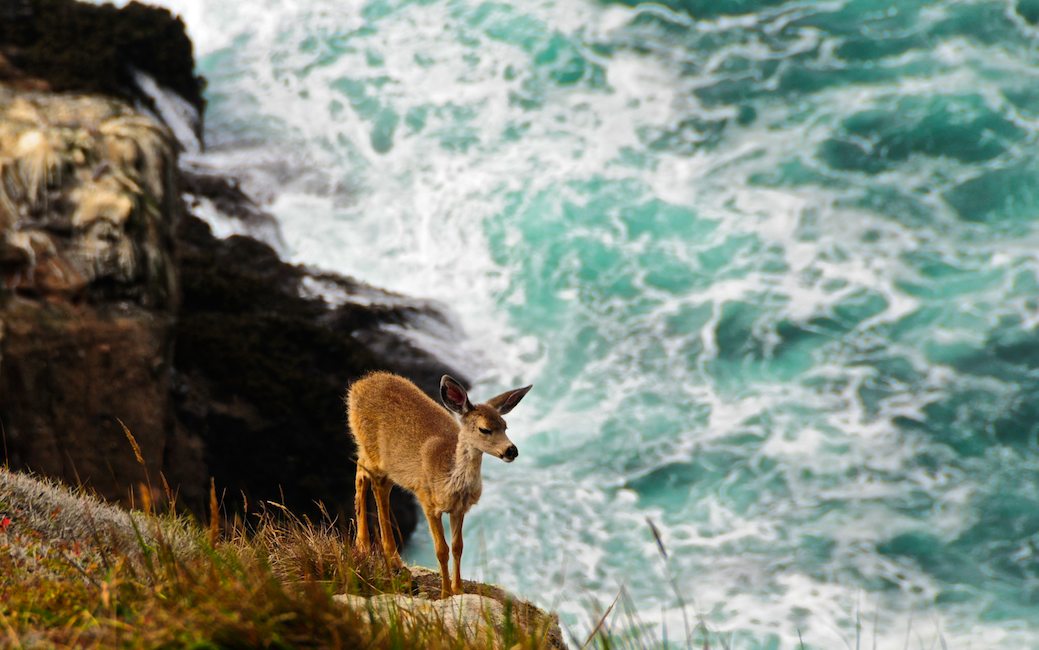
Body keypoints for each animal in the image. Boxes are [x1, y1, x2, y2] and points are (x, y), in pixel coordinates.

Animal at [347, 369, 531, 598]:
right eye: (485, 429)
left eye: (505, 426)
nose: (511, 450)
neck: (449, 480)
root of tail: (359, 385)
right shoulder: (427, 502)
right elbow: (441, 550)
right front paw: (445, 593)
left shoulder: (459, 508)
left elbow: (457, 546)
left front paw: (458, 589)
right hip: (374, 452)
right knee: (372, 481)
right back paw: (379, 553)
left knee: (364, 473)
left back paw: (371, 549)